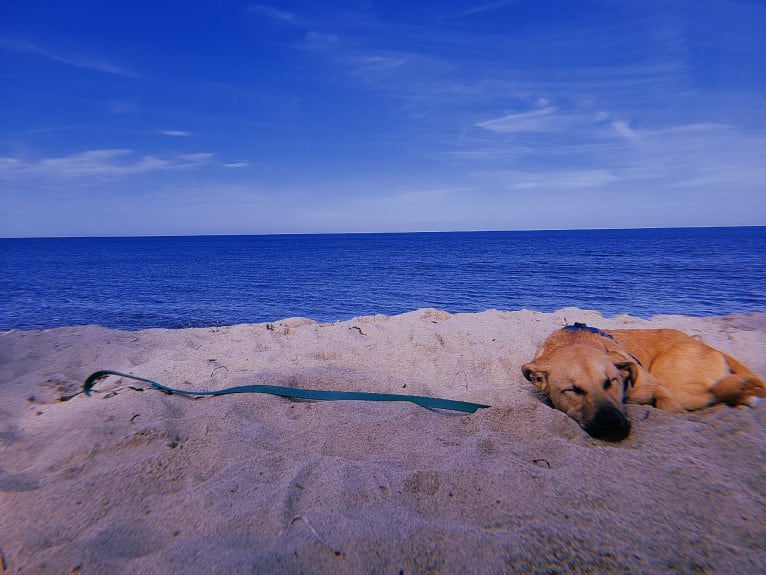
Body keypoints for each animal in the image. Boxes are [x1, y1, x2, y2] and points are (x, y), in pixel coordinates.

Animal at [520, 326, 766, 444]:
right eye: (573, 390)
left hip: (676, 381)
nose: (613, 425)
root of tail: (709, 347)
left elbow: (669, 408)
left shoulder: (660, 389)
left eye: (611, 381)